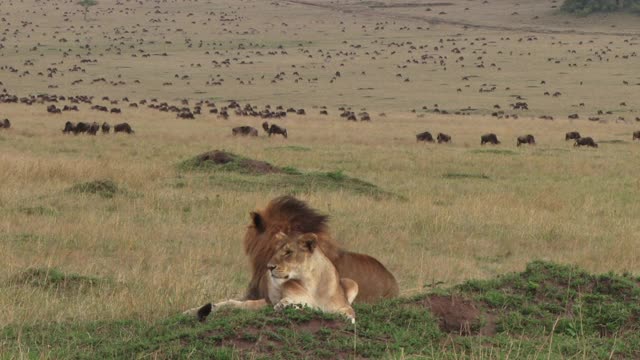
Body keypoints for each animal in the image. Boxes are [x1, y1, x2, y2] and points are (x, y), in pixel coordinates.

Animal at [186, 233, 360, 324]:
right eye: (276, 251)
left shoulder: (343, 304)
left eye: (288, 252)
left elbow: (349, 312)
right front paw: (286, 306)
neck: (311, 282)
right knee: (235, 303)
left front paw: (346, 318)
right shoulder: (289, 296)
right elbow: (298, 303)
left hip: (353, 282)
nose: (269, 267)